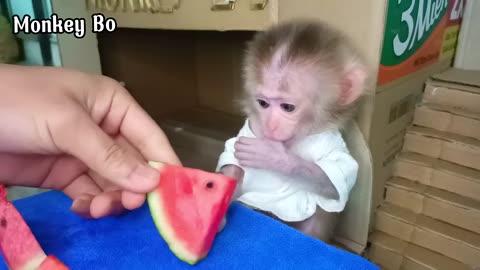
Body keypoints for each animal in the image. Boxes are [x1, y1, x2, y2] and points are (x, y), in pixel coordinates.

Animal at [217, 19, 368, 243]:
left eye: (287, 107)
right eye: (263, 103)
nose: (270, 125)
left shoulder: (335, 143)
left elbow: (335, 181)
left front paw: (275, 157)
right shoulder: (250, 126)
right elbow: (231, 158)